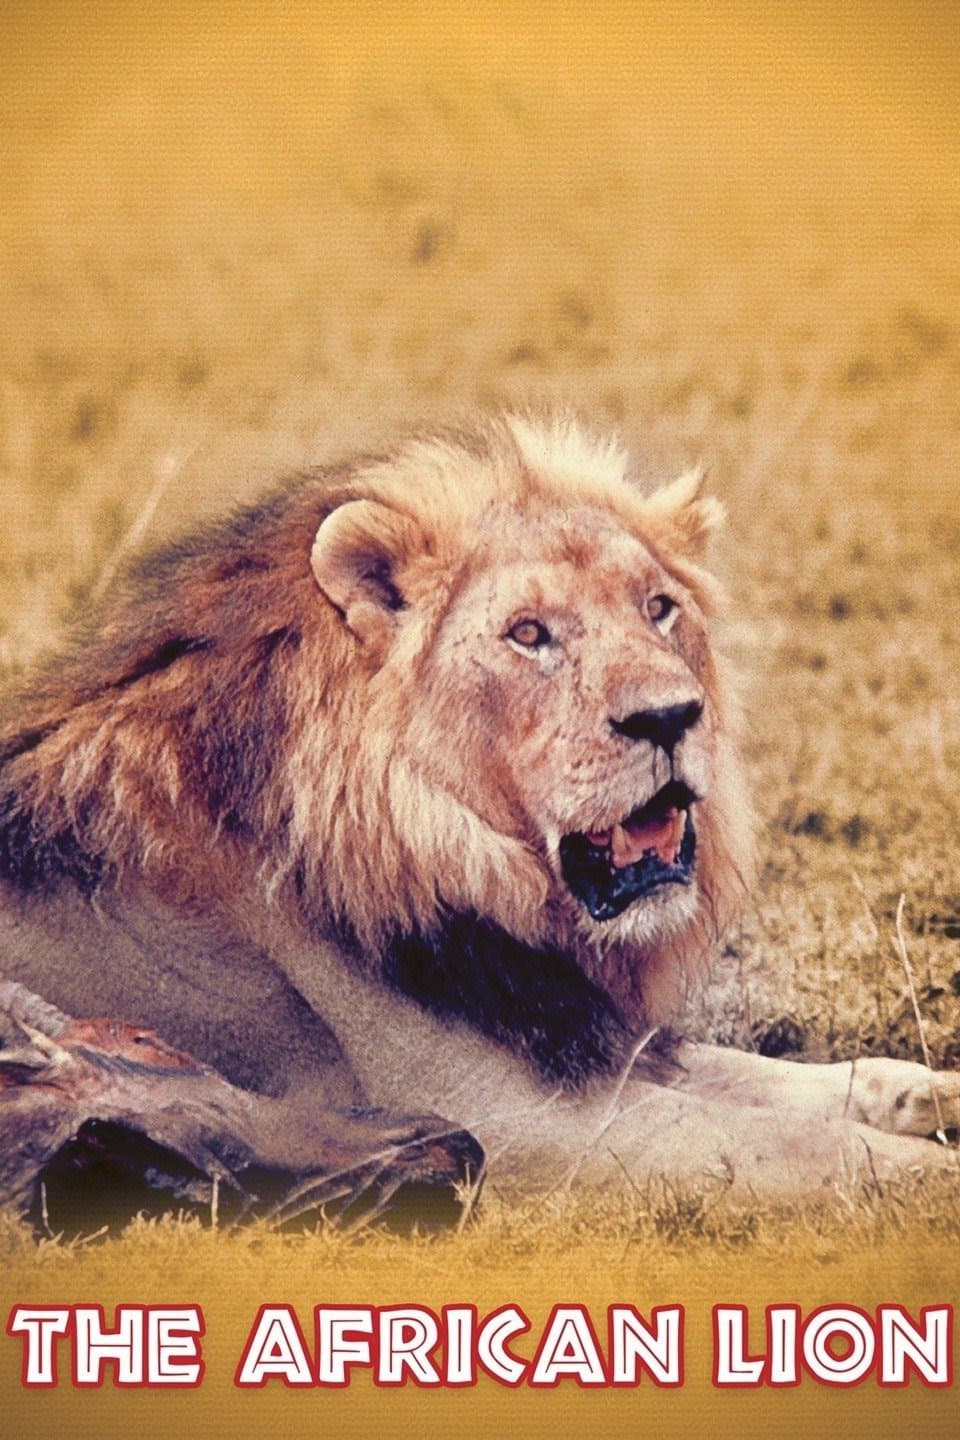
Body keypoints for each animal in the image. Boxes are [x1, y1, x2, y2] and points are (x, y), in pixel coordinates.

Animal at [1, 412, 958, 1198]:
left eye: (659, 608)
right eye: (528, 634)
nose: (670, 716)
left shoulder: (586, 1041)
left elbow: (781, 1077)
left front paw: (927, 1089)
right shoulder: (520, 1117)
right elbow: (804, 1143)